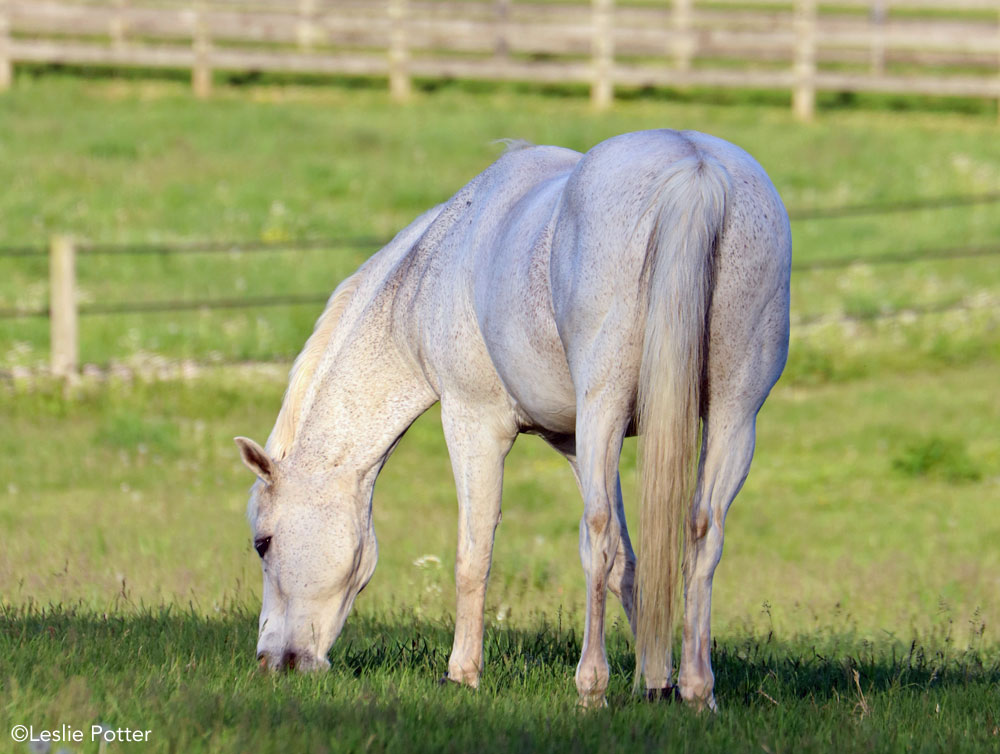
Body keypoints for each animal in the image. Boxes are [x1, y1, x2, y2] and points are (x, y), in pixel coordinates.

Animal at [234, 126, 788, 708]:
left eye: (263, 543)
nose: (272, 661)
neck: (435, 266)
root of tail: (693, 167)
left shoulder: (474, 423)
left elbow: (474, 553)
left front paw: (462, 673)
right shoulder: (574, 443)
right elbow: (631, 565)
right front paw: (654, 680)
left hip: (607, 407)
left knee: (596, 535)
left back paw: (591, 686)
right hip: (732, 416)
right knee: (703, 533)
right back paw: (697, 691)